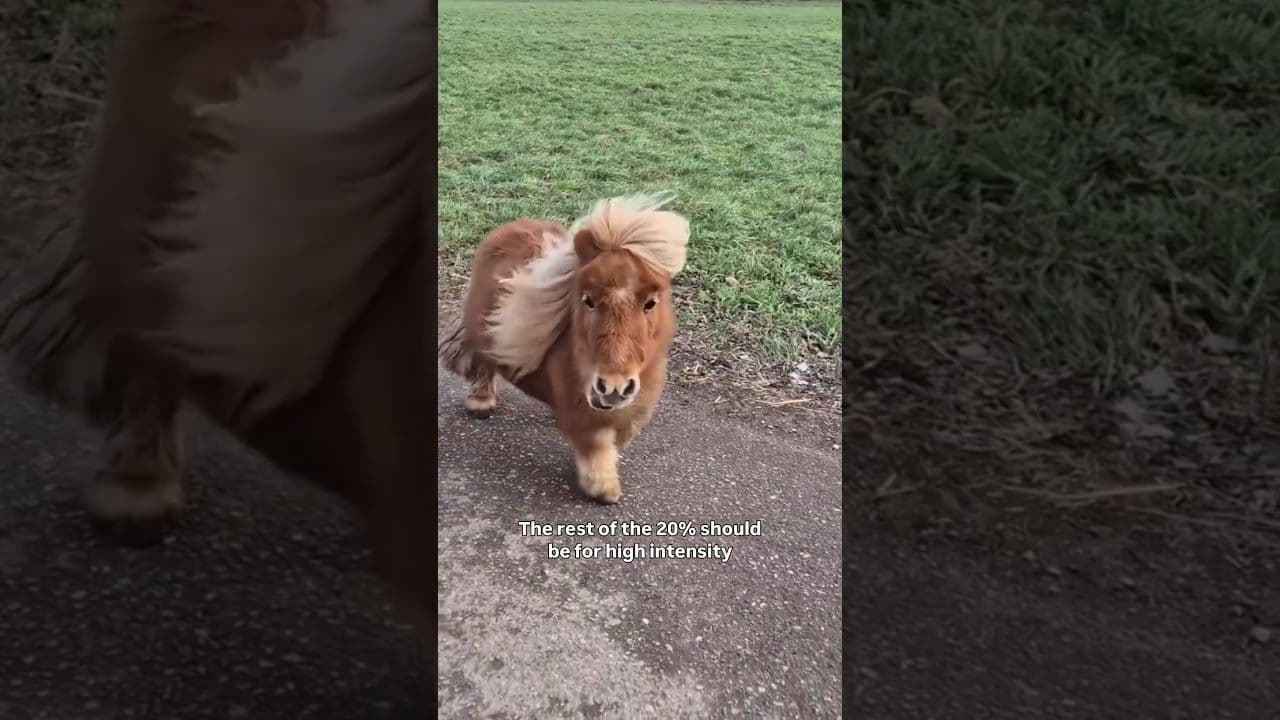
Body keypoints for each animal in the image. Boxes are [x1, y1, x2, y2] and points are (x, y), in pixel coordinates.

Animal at [438, 195, 689, 503]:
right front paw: (604, 490)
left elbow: (619, 436)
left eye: (651, 302)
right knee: (483, 364)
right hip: (482, 330)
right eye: (588, 300)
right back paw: (481, 404)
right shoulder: (583, 412)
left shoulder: (635, 407)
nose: (613, 387)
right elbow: (595, 445)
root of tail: (511, 226)